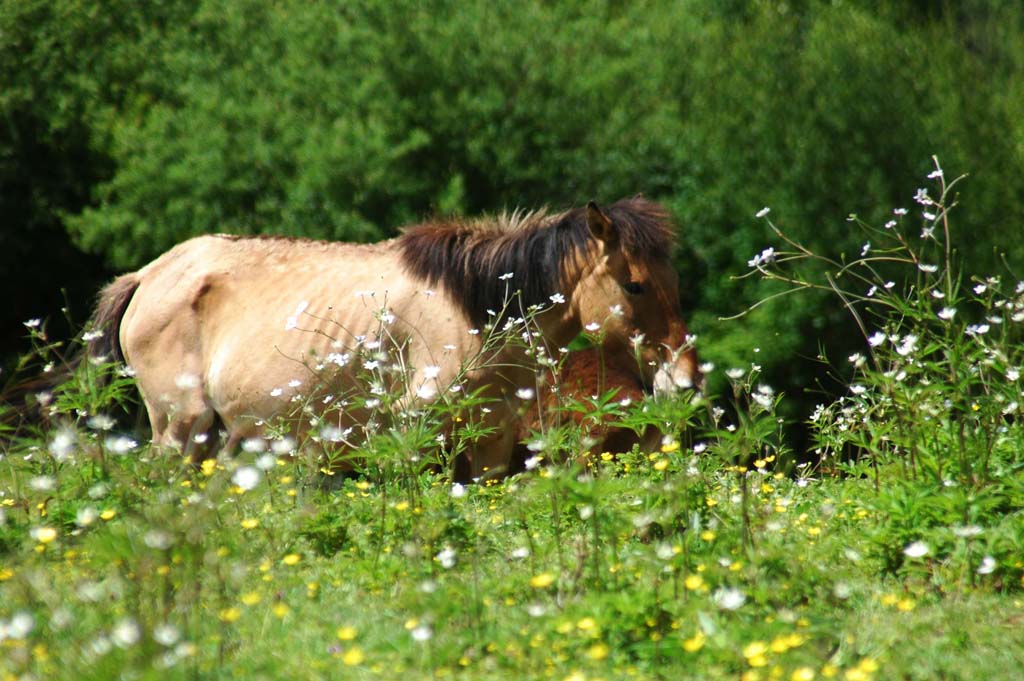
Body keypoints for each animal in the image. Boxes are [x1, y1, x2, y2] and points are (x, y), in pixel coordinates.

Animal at [90, 196, 696, 481]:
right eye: (635, 285)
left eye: (674, 281)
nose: (686, 381)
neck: (476, 309)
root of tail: (147, 275)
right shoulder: (415, 432)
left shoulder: (493, 442)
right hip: (181, 429)